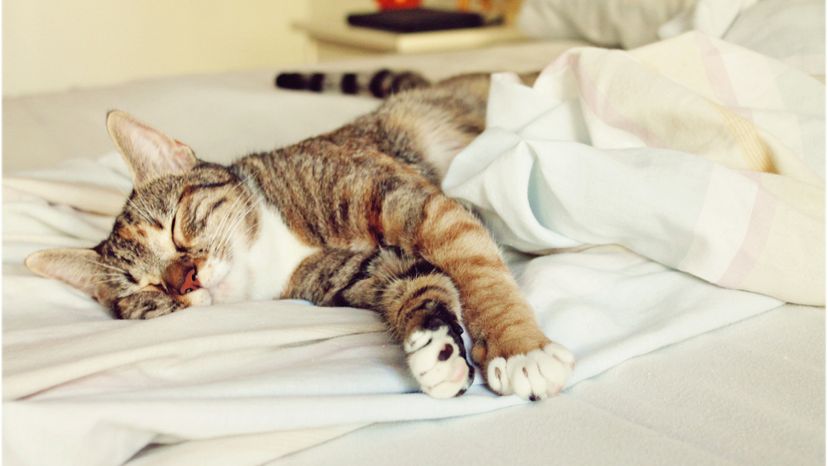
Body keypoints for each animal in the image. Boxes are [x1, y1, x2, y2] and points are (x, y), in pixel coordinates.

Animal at [24, 68, 568, 400]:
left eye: (176, 228)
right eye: (148, 290)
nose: (186, 279)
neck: (273, 239)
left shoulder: (417, 206)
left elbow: (475, 268)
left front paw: (520, 348)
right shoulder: (359, 272)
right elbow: (417, 282)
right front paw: (438, 351)